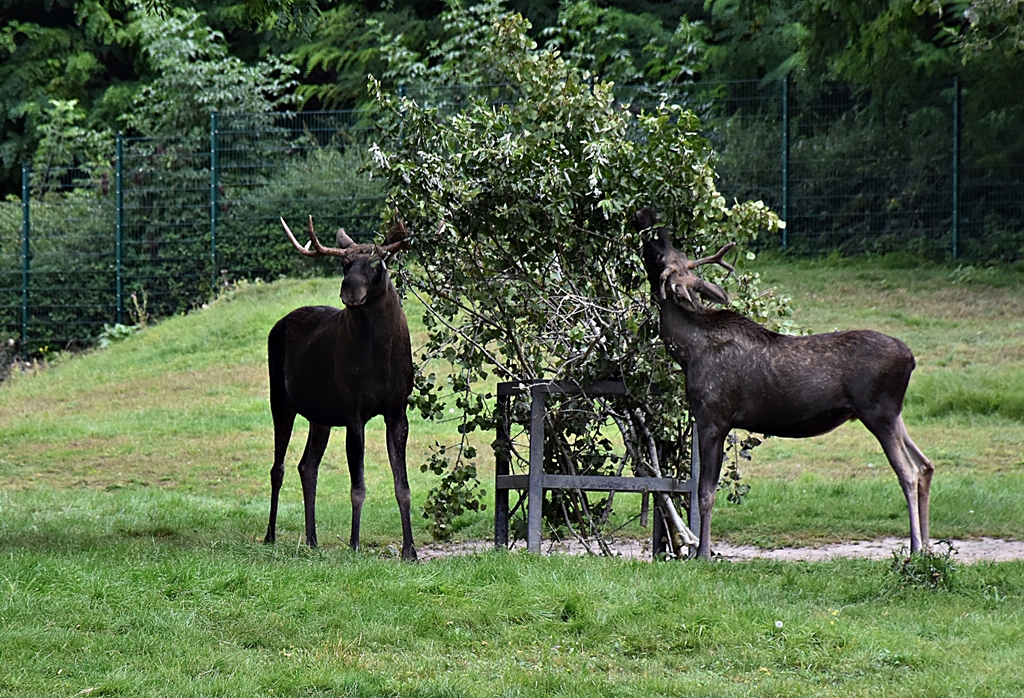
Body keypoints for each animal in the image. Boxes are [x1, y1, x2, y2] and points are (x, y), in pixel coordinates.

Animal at [264, 215, 417, 560]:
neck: (380, 360)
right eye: (345, 264)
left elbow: (403, 486)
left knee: (307, 466)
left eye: (376, 262)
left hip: (319, 414)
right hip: (280, 399)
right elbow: (357, 486)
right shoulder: (353, 410)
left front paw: (410, 551)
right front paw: (354, 544)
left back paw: (312, 539)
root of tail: (276, 325)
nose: (350, 291)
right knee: (278, 467)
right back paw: (270, 536)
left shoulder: (397, 410)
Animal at [635, 207, 934, 559]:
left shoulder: (713, 417)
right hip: (893, 414)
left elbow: (705, 492)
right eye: (670, 250)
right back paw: (927, 548)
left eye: (659, 253)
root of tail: (911, 359)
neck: (687, 350)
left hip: (878, 412)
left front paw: (703, 553)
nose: (648, 215)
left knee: (909, 472)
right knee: (926, 465)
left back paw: (915, 547)